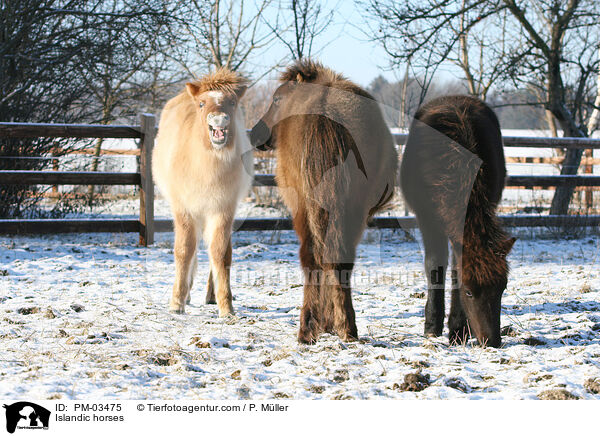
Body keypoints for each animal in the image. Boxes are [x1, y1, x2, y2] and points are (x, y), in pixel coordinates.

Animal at [152, 68, 253, 316]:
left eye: (232, 102)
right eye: (201, 104)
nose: (218, 120)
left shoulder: (223, 210)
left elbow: (220, 252)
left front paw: (226, 306)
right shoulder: (184, 209)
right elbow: (184, 250)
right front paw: (177, 302)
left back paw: (211, 296)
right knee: (193, 248)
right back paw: (187, 295)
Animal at [250, 58, 398, 344]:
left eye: (276, 99)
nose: (254, 134)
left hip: (306, 209)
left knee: (312, 258)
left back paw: (308, 328)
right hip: (352, 209)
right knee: (339, 258)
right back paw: (347, 327)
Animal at [400, 94, 512, 348]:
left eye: (502, 288)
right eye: (469, 292)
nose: (491, 341)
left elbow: (454, 271)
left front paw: (458, 330)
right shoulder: (428, 220)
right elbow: (435, 266)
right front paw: (432, 326)